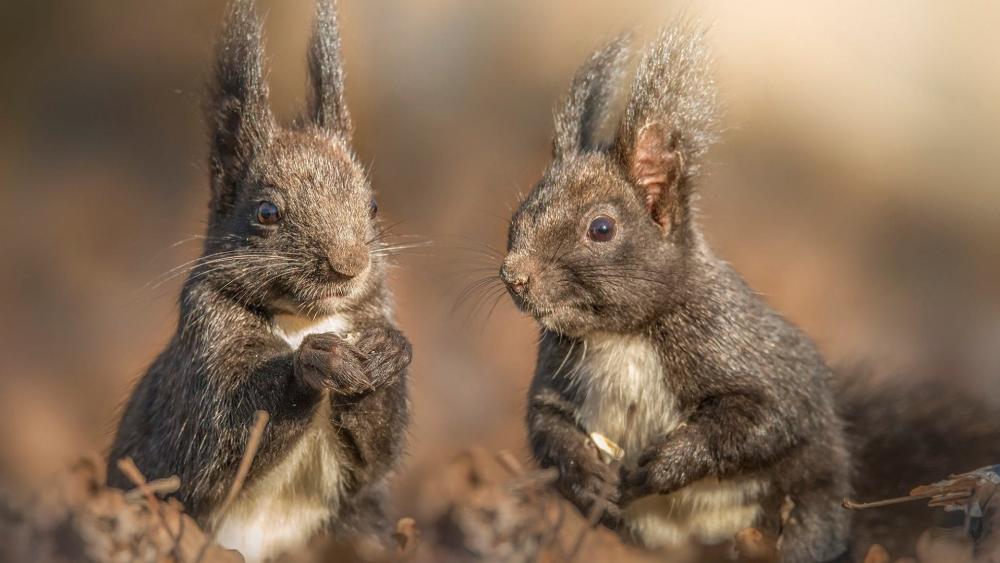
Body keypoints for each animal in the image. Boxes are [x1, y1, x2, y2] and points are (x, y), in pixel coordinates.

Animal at [106, 1, 410, 560]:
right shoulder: (203, 352)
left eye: (374, 205)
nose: (349, 264)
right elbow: (220, 436)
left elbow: (376, 457)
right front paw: (315, 363)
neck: (303, 320)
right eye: (267, 212)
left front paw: (386, 352)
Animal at [501, 27, 1000, 561]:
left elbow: (769, 415)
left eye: (601, 228)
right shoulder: (557, 372)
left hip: (810, 507)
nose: (514, 276)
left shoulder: (739, 346)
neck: (621, 336)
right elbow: (544, 424)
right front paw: (586, 478)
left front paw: (667, 463)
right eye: (520, 211)